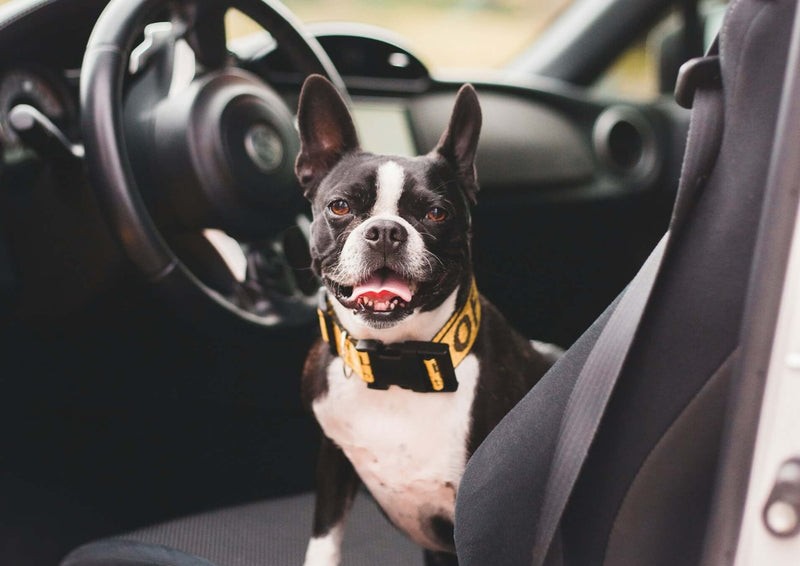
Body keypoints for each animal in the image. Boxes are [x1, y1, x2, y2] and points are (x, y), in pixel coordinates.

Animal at [296, 76, 552, 566]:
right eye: (339, 207)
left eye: (436, 213)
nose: (385, 230)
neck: (396, 363)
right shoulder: (331, 461)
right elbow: (323, 542)